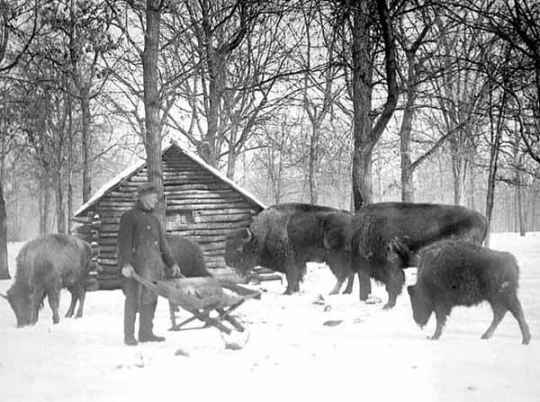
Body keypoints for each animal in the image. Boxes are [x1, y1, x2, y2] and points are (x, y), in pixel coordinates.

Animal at [225, 204, 354, 296]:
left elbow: (291, 276)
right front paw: (296, 290)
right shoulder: (299, 262)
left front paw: (287, 292)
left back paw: (334, 292)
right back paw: (346, 291)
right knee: (351, 274)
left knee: (342, 275)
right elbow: (297, 276)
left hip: (335, 259)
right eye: (227, 245)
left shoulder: (288, 262)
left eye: (240, 249)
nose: (228, 262)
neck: (264, 234)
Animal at [324, 203, 490, 310]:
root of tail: (483, 218)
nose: (336, 272)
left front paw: (388, 305)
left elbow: (393, 285)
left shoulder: (390, 266)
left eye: (337, 252)